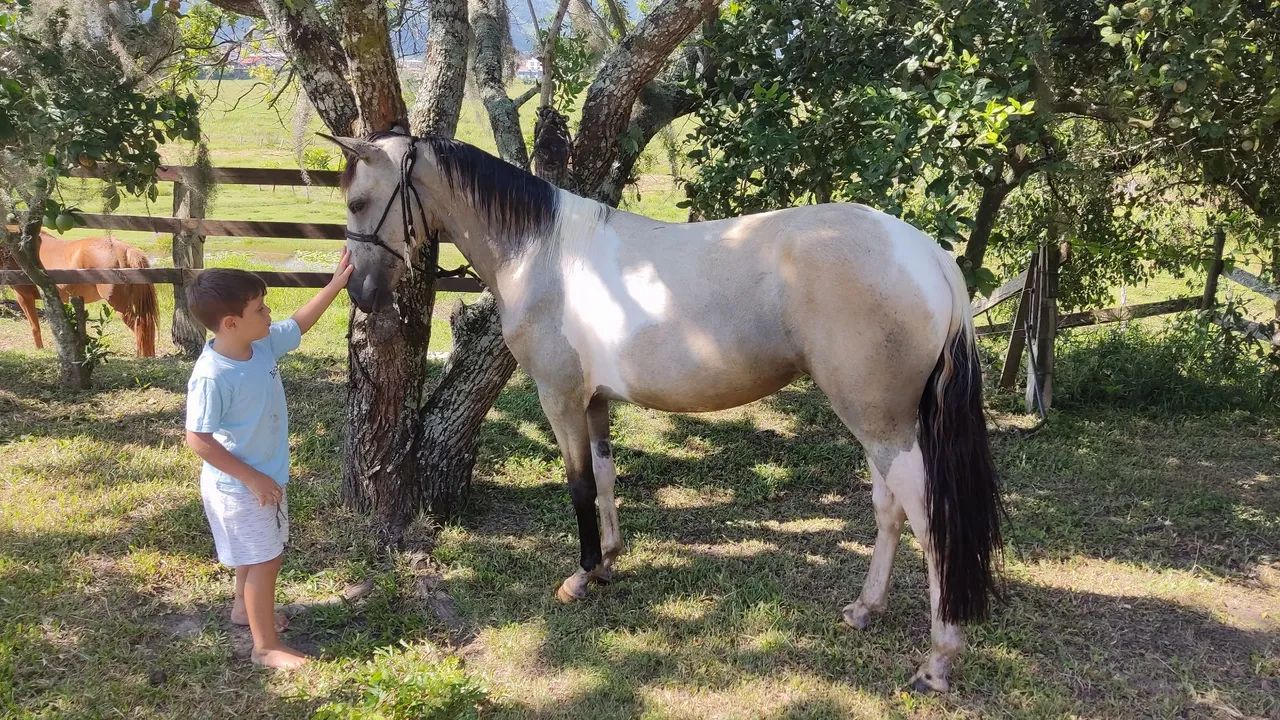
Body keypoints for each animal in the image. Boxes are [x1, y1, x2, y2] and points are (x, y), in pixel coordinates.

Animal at [3, 233, 158, 357]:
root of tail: (125, 249)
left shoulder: (23, 297)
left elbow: (35, 326)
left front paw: (40, 349)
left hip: (120, 305)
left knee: (138, 326)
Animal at [322, 130, 1003, 693]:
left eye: (357, 201)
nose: (360, 294)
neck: (545, 256)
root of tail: (925, 253)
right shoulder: (595, 402)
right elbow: (604, 477)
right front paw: (609, 562)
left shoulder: (559, 397)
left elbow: (578, 486)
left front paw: (581, 576)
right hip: (878, 426)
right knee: (889, 511)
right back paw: (865, 610)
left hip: (884, 427)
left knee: (927, 520)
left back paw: (939, 661)